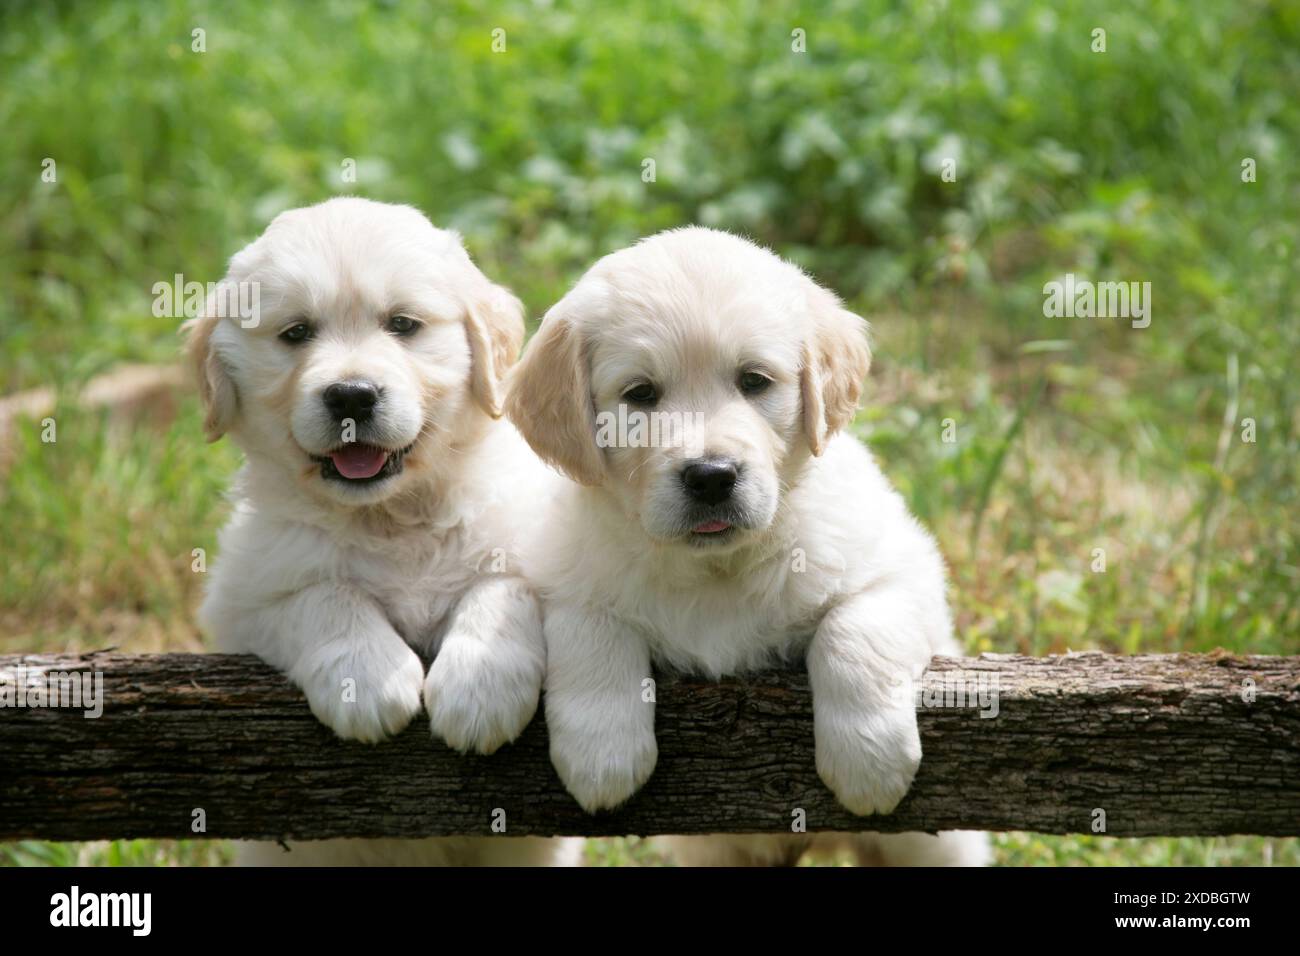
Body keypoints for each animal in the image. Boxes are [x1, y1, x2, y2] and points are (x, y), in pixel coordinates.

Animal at [188, 200, 579, 868]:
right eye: (296, 333)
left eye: (403, 325)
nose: (352, 396)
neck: (393, 518)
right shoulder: (241, 604)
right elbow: (321, 593)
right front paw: (366, 680)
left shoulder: (531, 537)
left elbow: (503, 583)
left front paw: (479, 689)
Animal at [504, 226, 982, 868]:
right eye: (641, 394)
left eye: (754, 380)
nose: (711, 476)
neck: (716, 569)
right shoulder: (565, 573)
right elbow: (592, 631)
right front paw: (601, 753)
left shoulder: (905, 569)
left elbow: (854, 628)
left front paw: (868, 756)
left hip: (938, 845)